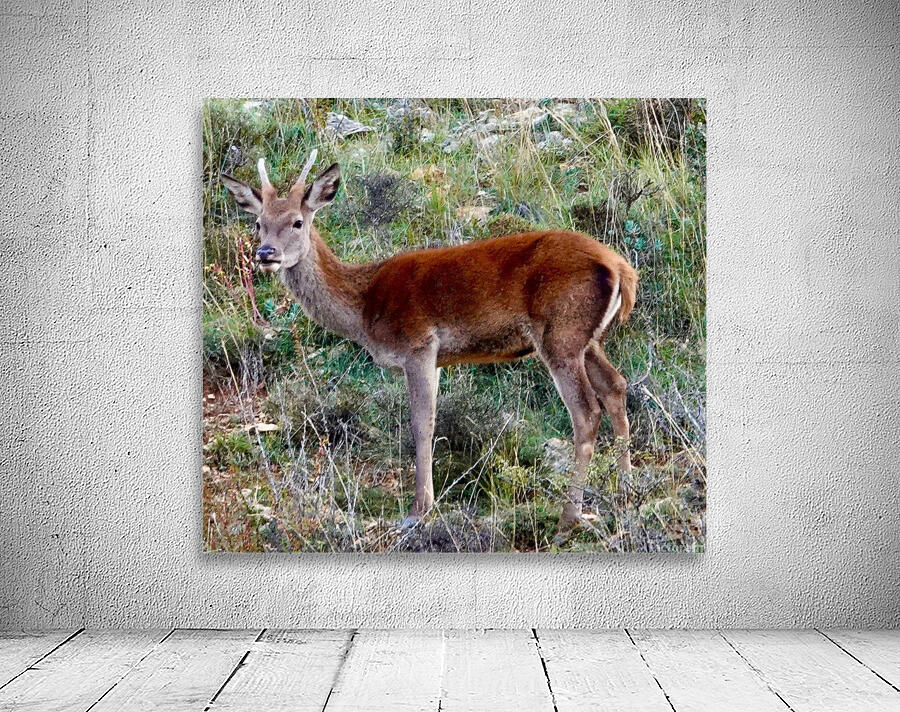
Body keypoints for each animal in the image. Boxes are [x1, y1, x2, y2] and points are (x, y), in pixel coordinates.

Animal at [221, 151, 638, 534]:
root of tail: (621, 268)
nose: (266, 253)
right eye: (258, 223)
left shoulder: (418, 345)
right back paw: (626, 491)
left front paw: (419, 510)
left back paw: (570, 516)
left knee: (586, 410)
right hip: (586, 339)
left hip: (559, 332)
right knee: (616, 386)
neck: (364, 307)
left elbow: (421, 423)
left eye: (297, 221)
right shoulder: (436, 359)